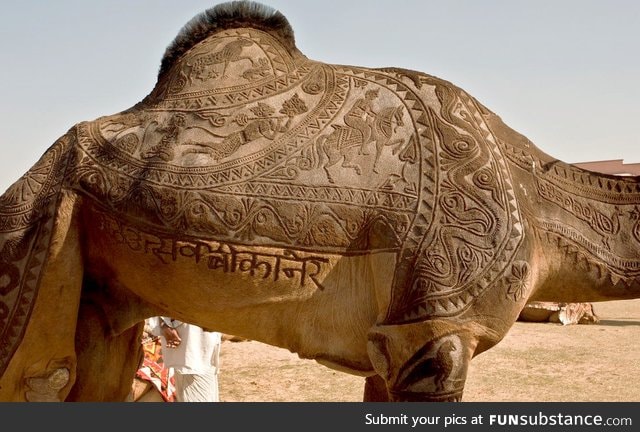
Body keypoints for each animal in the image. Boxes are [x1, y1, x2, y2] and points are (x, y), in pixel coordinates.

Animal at [0, 1, 636, 404]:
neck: (534, 199)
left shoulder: (393, 336)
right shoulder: (436, 329)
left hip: (97, 287)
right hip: (33, 230)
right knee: (40, 372)